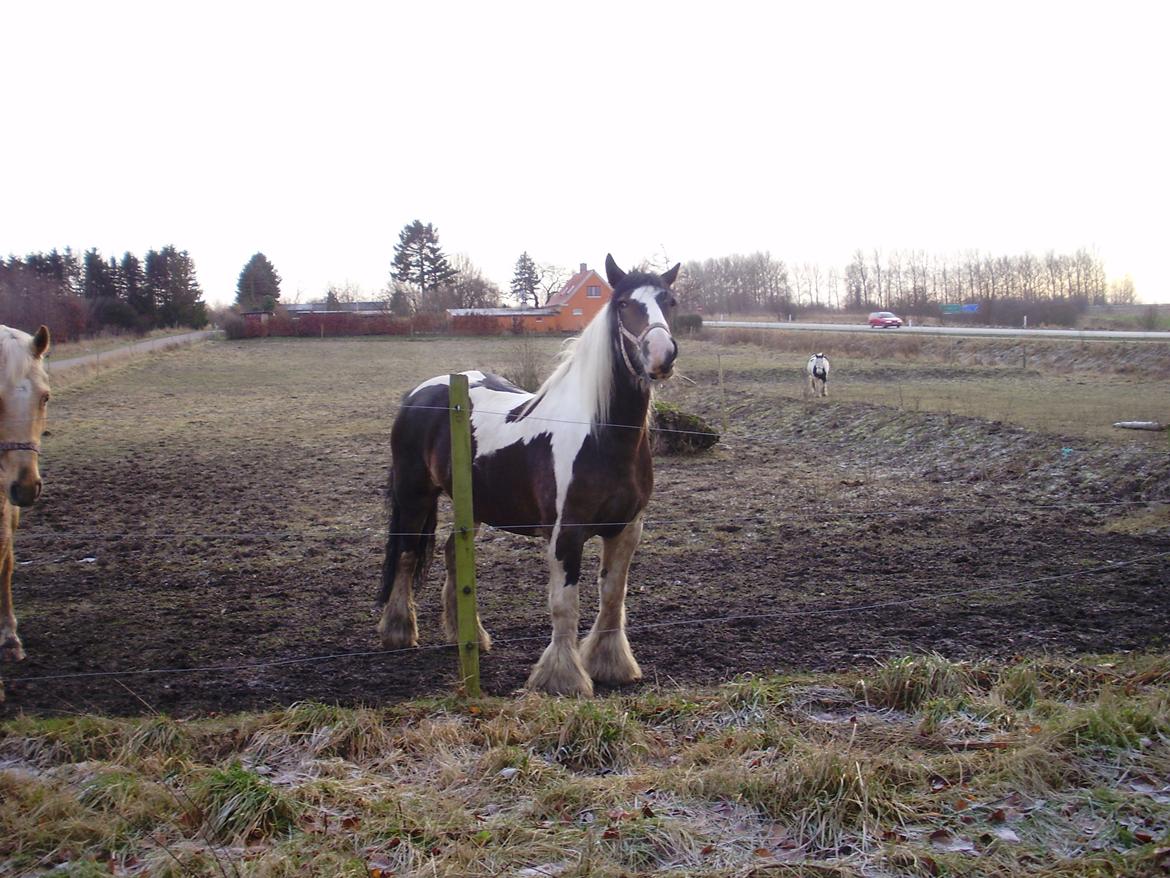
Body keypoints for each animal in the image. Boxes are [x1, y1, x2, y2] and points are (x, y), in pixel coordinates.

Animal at [379, 257, 683, 697]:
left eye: (669, 301)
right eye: (624, 303)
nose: (662, 355)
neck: (604, 436)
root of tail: (419, 394)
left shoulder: (626, 529)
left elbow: (612, 595)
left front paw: (611, 665)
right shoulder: (565, 533)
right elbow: (565, 605)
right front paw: (562, 678)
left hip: (474, 504)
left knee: (453, 553)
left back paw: (468, 636)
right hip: (415, 494)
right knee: (404, 556)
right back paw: (399, 632)